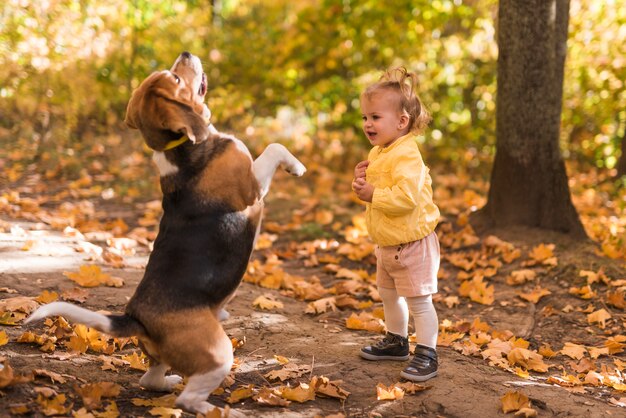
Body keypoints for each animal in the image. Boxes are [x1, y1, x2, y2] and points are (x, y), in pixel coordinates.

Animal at [25, 52, 304, 414]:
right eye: (176, 78)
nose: (186, 54)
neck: (179, 149)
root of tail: (137, 317)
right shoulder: (251, 189)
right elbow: (274, 147)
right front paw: (297, 166)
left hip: (161, 357)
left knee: (150, 380)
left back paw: (168, 382)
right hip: (219, 353)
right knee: (189, 398)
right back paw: (219, 410)